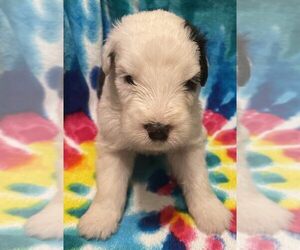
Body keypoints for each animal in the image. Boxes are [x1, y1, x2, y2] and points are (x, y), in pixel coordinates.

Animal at [78, 10, 232, 240]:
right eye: (129, 79)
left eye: (189, 83)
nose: (158, 130)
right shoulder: (111, 140)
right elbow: (109, 185)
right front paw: (99, 218)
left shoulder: (190, 139)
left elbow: (198, 178)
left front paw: (211, 211)